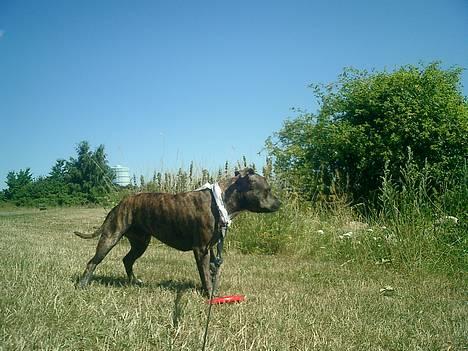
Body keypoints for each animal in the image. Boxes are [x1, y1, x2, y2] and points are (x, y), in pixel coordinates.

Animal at [72, 169, 278, 296]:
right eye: (267, 190)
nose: (280, 202)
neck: (221, 201)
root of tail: (120, 203)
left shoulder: (211, 249)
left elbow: (212, 271)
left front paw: (213, 289)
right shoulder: (200, 249)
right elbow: (205, 273)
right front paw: (209, 294)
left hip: (140, 242)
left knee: (127, 260)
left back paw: (134, 281)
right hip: (111, 237)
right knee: (93, 262)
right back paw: (83, 284)